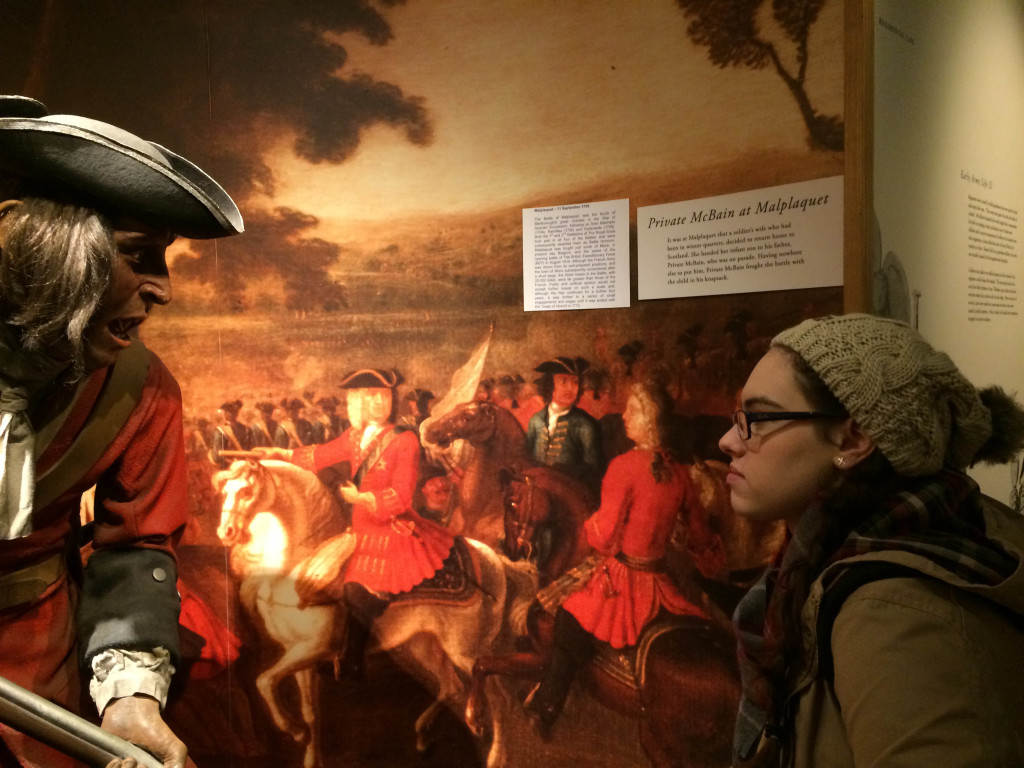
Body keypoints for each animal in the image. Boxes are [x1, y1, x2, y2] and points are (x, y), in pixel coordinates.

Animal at [212, 460, 540, 768]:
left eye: (246, 491)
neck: (297, 569)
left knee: (497, 694)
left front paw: (291, 730)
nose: (225, 533)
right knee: (451, 686)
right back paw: (423, 735)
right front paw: (309, 751)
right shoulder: (300, 655)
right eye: (225, 491)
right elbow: (308, 710)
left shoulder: (313, 648)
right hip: (423, 645)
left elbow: (263, 681)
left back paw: (495, 753)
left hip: (466, 650)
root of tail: (496, 560)